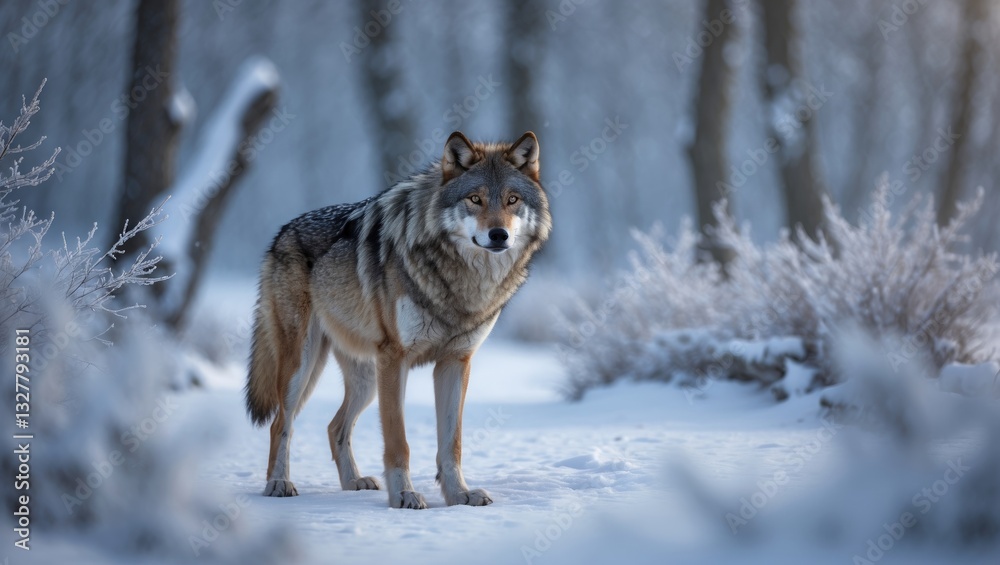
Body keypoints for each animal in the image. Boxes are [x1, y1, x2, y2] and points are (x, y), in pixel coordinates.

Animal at [244, 131, 550, 508]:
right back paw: (278, 483)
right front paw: (404, 494)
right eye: (475, 199)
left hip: (365, 379)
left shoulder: (455, 362)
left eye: (512, 200)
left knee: (334, 427)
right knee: (280, 424)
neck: (461, 281)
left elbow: (452, 443)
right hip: (303, 367)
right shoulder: (395, 359)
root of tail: (282, 233)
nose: (498, 235)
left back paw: (354, 482)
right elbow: (398, 441)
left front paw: (459, 494)